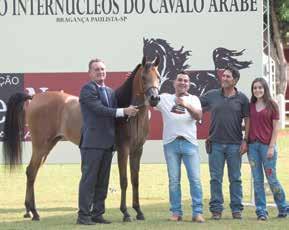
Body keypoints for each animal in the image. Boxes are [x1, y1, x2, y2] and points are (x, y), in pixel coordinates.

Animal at [1, 55, 160, 221]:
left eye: (158, 76)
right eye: (144, 77)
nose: (155, 98)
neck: (133, 117)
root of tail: (34, 97)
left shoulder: (137, 150)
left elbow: (135, 181)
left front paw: (139, 211)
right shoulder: (124, 150)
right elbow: (124, 181)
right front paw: (126, 213)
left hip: (48, 145)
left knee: (32, 172)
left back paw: (30, 211)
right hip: (40, 145)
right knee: (31, 172)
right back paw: (35, 212)